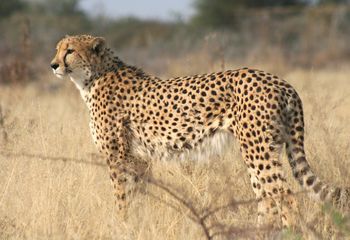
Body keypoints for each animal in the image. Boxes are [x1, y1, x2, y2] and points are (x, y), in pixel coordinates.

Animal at [50, 34, 348, 228]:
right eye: (57, 49)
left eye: (70, 51)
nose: (53, 65)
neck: (93, 77)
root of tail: (282, 82)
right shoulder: (139, 159)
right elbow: (138, 197)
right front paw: (136, 224)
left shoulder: (117, 157)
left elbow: (122, 198)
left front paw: (122, 225)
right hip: (258, 150)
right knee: (266, 197)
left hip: (258, 150)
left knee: (284, 196)